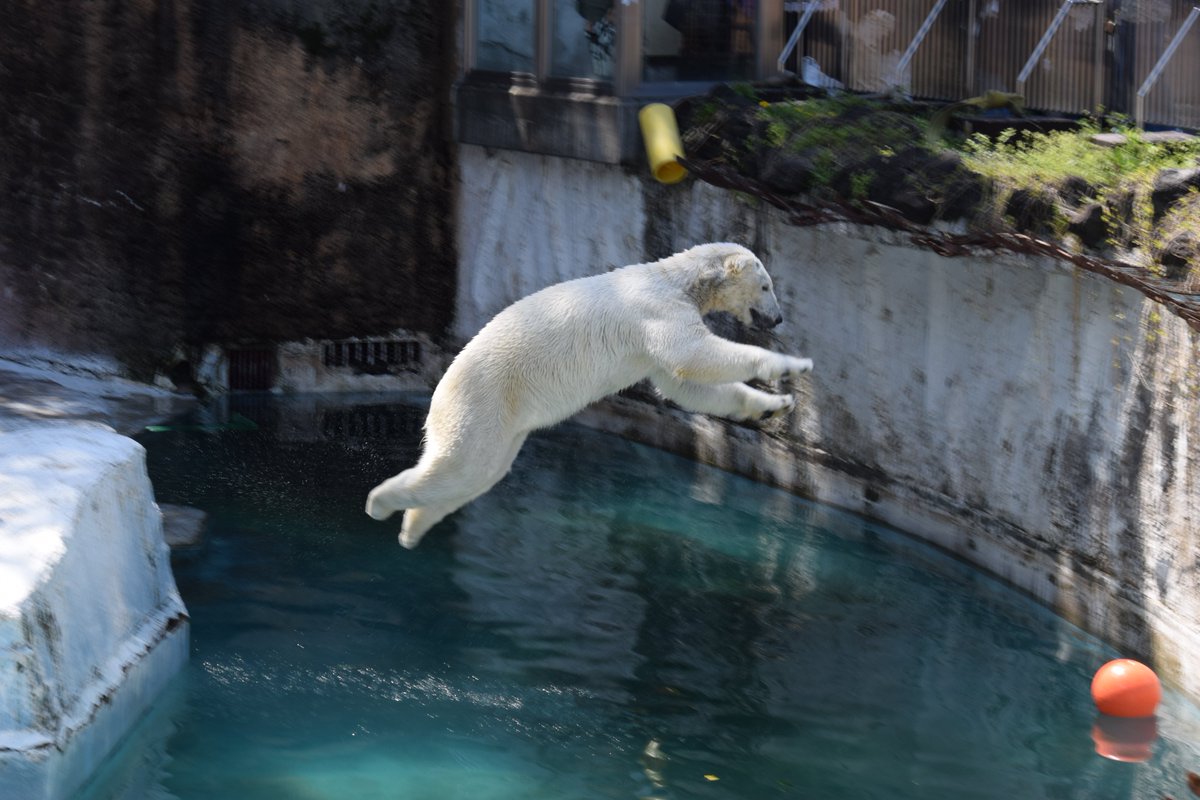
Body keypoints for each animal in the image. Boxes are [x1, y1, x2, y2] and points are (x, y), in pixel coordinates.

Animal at [364, 241, 816, 546]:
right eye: (766, 286)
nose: (778, 318)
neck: (677, 280)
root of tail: (441, 389)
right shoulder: (657, 311)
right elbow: (692, 355)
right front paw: (791, 367)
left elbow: (683, 385)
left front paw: (774, 406)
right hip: (482, 401)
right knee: (457, 466)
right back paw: (380, 502)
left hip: (503, 425)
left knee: (477, 474)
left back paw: (413, 527)